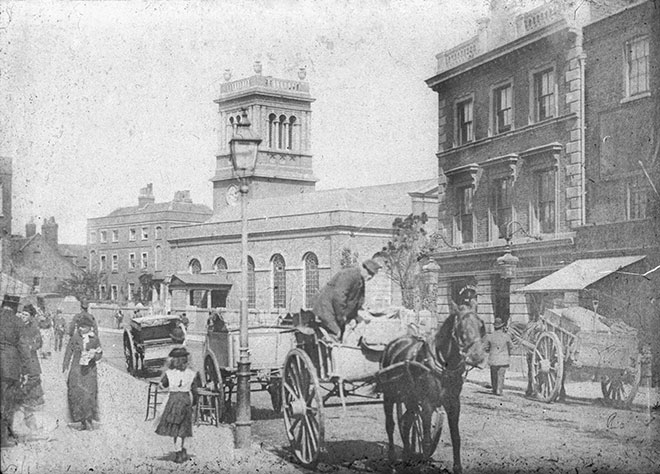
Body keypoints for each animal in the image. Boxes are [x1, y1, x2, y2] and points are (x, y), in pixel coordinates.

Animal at [382, 302, 484, 472]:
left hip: (410, 399)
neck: (444, 365)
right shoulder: (427, 405)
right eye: (461, 328)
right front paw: (424, 467)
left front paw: (458, 468)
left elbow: (456, 438)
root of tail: (393, 344)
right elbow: (427, 440)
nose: (477, 356)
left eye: (481, 326)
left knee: (406, 423)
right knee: (391, 425)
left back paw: (407, 456)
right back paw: (392, 461)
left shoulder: (454, 404)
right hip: (389, 395)